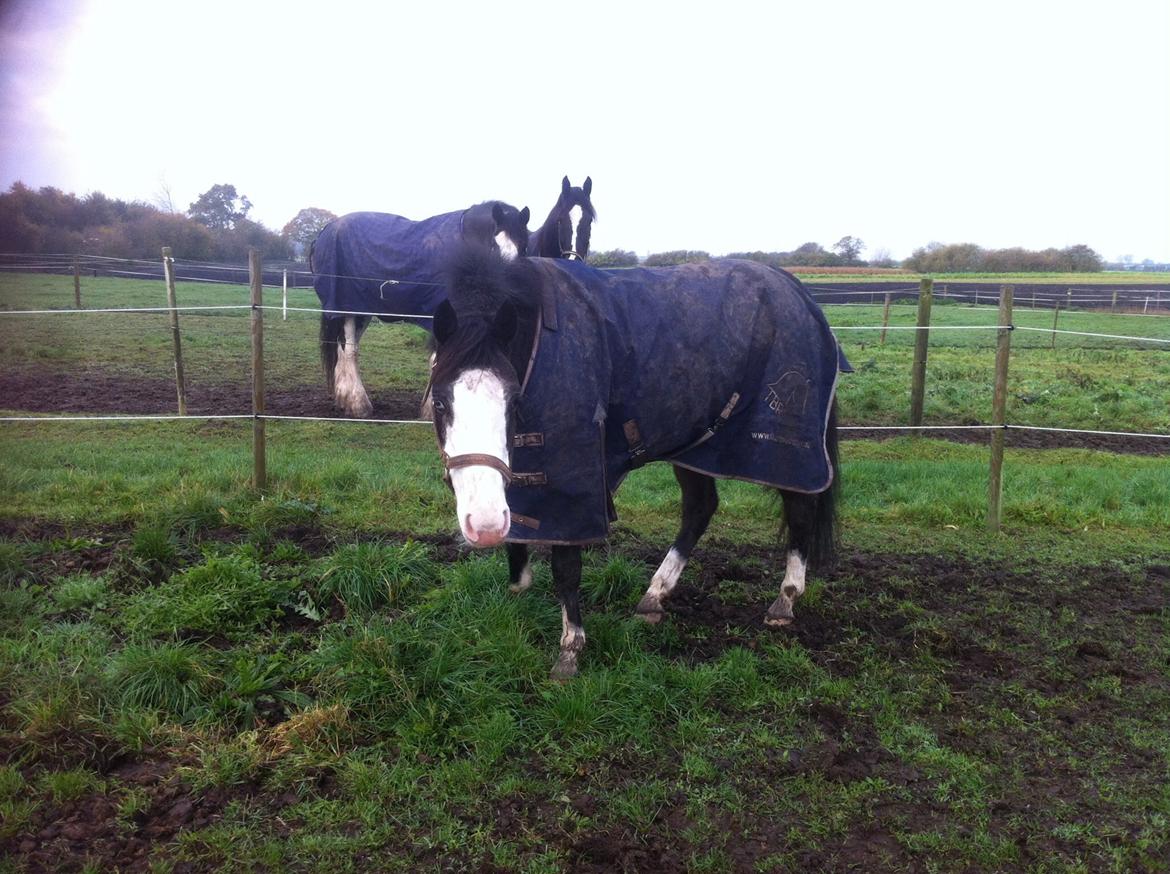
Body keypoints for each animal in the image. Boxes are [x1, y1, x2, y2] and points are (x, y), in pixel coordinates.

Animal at [311, 200, 531, 418]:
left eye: (523, 248)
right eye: (494, 246)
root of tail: (326, 231)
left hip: (362, 310)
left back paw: (344, 399)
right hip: (346, 308)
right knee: (348, 349)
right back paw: (358, 405)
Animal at [430, 245, 851, 683]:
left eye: (513, 402)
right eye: (440, 402)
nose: (483, 526)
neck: (537, 347)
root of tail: (795, 291)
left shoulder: (575, 481)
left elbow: (566, 566)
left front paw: (570, 649)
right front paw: (518, 584)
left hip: (783, 447)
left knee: (800, 506)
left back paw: (785, 600)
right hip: (697, 445)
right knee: (700, 508)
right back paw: (655, 594)